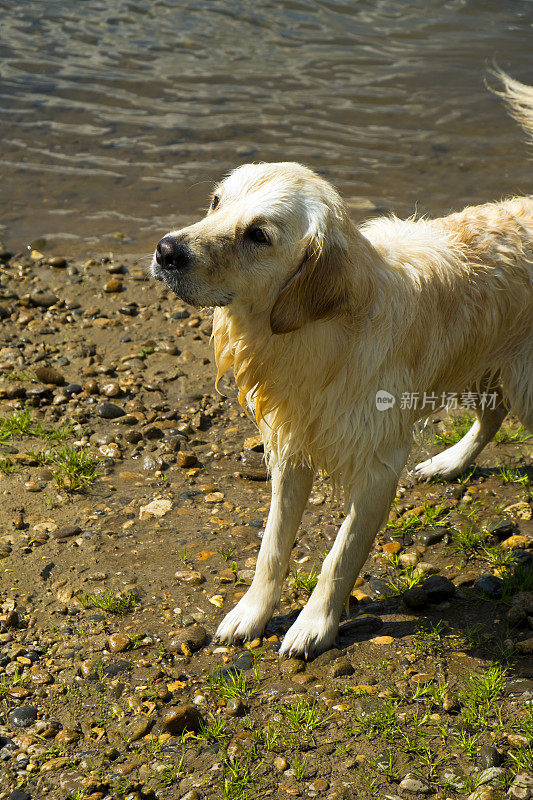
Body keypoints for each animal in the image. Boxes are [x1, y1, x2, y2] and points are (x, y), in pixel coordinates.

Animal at [151, 70, 532, 656]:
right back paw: (448, 462)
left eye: (258, 234)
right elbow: (272, 547)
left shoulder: (378, 465)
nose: (166, 250)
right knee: (491, 415)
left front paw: (313, 626)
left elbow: (339, 556)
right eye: (215, 202)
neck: (313, 334)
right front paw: (250, 614)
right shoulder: (290, 446)